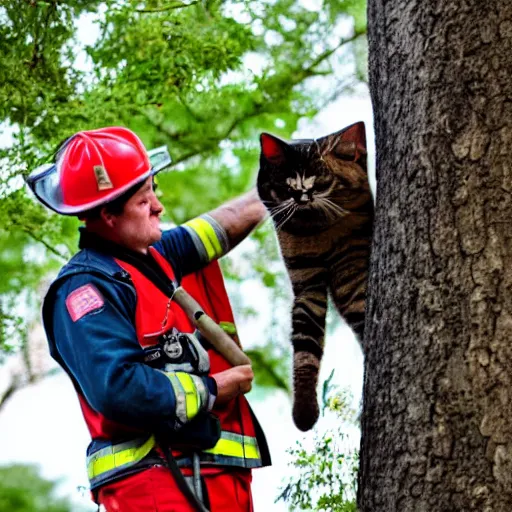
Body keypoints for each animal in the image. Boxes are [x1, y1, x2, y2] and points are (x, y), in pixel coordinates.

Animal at [258, 122, 374, 430]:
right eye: (288, 183)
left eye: (320, 180)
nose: (303, 196)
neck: (316, 231)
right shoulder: (307, 285)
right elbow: (305, 347)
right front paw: (304, 411)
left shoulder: (352, 273)